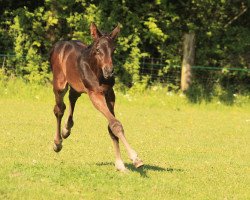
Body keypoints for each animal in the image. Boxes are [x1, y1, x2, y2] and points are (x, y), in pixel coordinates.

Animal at [49, 22, 143, 171]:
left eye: (114, 50)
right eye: (98, 49)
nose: (109, 71)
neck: (96, 70)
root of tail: (58, 45)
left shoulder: (110, 94)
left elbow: (111, 125)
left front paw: (119, 163)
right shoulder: (95, 94)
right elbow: (115, 124)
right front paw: (135, 158)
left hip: (76, 85)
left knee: (72, 98)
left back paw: (66, 129)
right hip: (59, 84)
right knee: (59, 109)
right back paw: (58, 143)